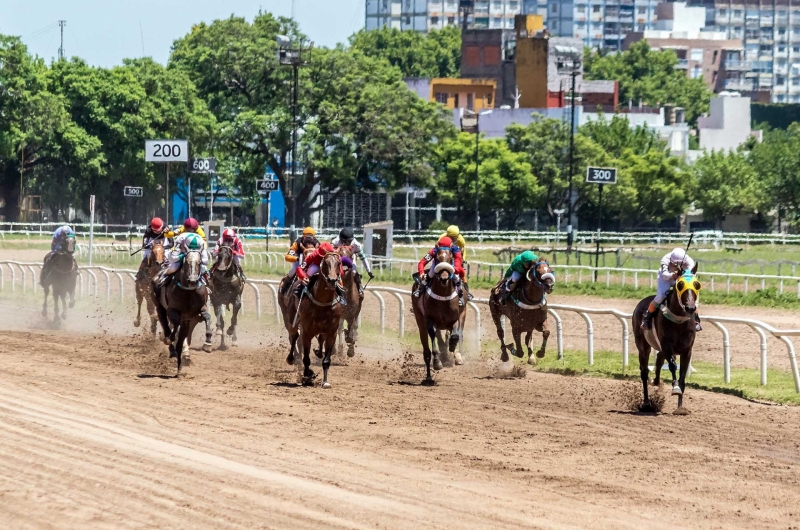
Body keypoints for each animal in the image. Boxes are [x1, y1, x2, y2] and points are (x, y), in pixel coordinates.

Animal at [280, 250, 342, 386]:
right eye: (325, 263)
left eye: (339, 263)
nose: (332, 280)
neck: (323, 302)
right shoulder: (306, 331)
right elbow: (306, 358)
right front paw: (308, 375)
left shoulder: (332, 332)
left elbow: (326, 359)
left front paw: (325, 382)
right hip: (290, 318)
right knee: (294, 335)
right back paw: (291, 358)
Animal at [412, 245, 462, 382]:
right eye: (437, 259)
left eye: (450, 259)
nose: (444, 278)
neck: (443, 296)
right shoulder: (430, 320)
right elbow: (433, 338)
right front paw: (438, 362)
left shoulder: (455, 319)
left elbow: (455, 335)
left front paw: (451, 347)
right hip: (420, 321)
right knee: (426, 352)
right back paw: (429, 377)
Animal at [632, 262, 700, 414]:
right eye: (680, 284)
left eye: (697, 284)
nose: (690, 308)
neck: (679, 321)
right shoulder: (667, 345)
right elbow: (673, 366)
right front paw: (675, 388)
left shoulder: (687, 350)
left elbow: (682, 376)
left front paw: (680, 408)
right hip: (643, 346)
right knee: (644, 372)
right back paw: (646, 403)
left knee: (658, 360)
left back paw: (656, 382)